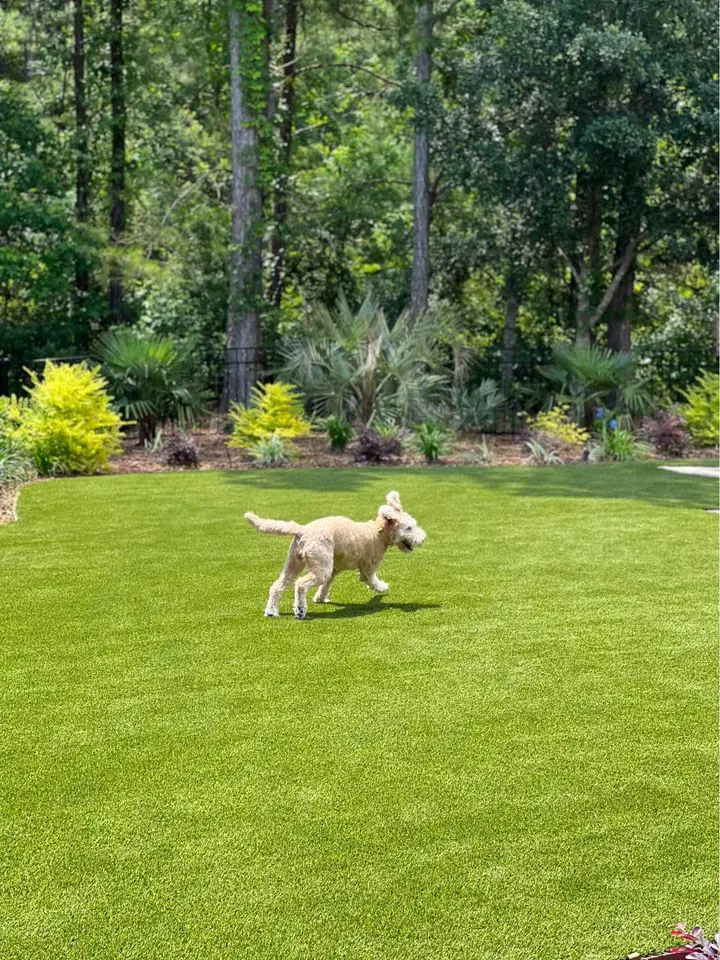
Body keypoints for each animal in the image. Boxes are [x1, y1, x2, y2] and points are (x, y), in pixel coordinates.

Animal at [246, 492, 428, 620]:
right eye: (409, 528)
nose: (424, 538)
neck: (377, 532)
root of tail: (302, 530)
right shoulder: (368, 568)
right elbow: (371, 579)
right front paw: (381, 587)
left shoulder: (334, 569)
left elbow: (326, 585)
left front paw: (320, 598)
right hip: (319, 568)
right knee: (301, 584)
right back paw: (300, 609)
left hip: (295, 563)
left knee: (278, 586)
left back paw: (271, 611)